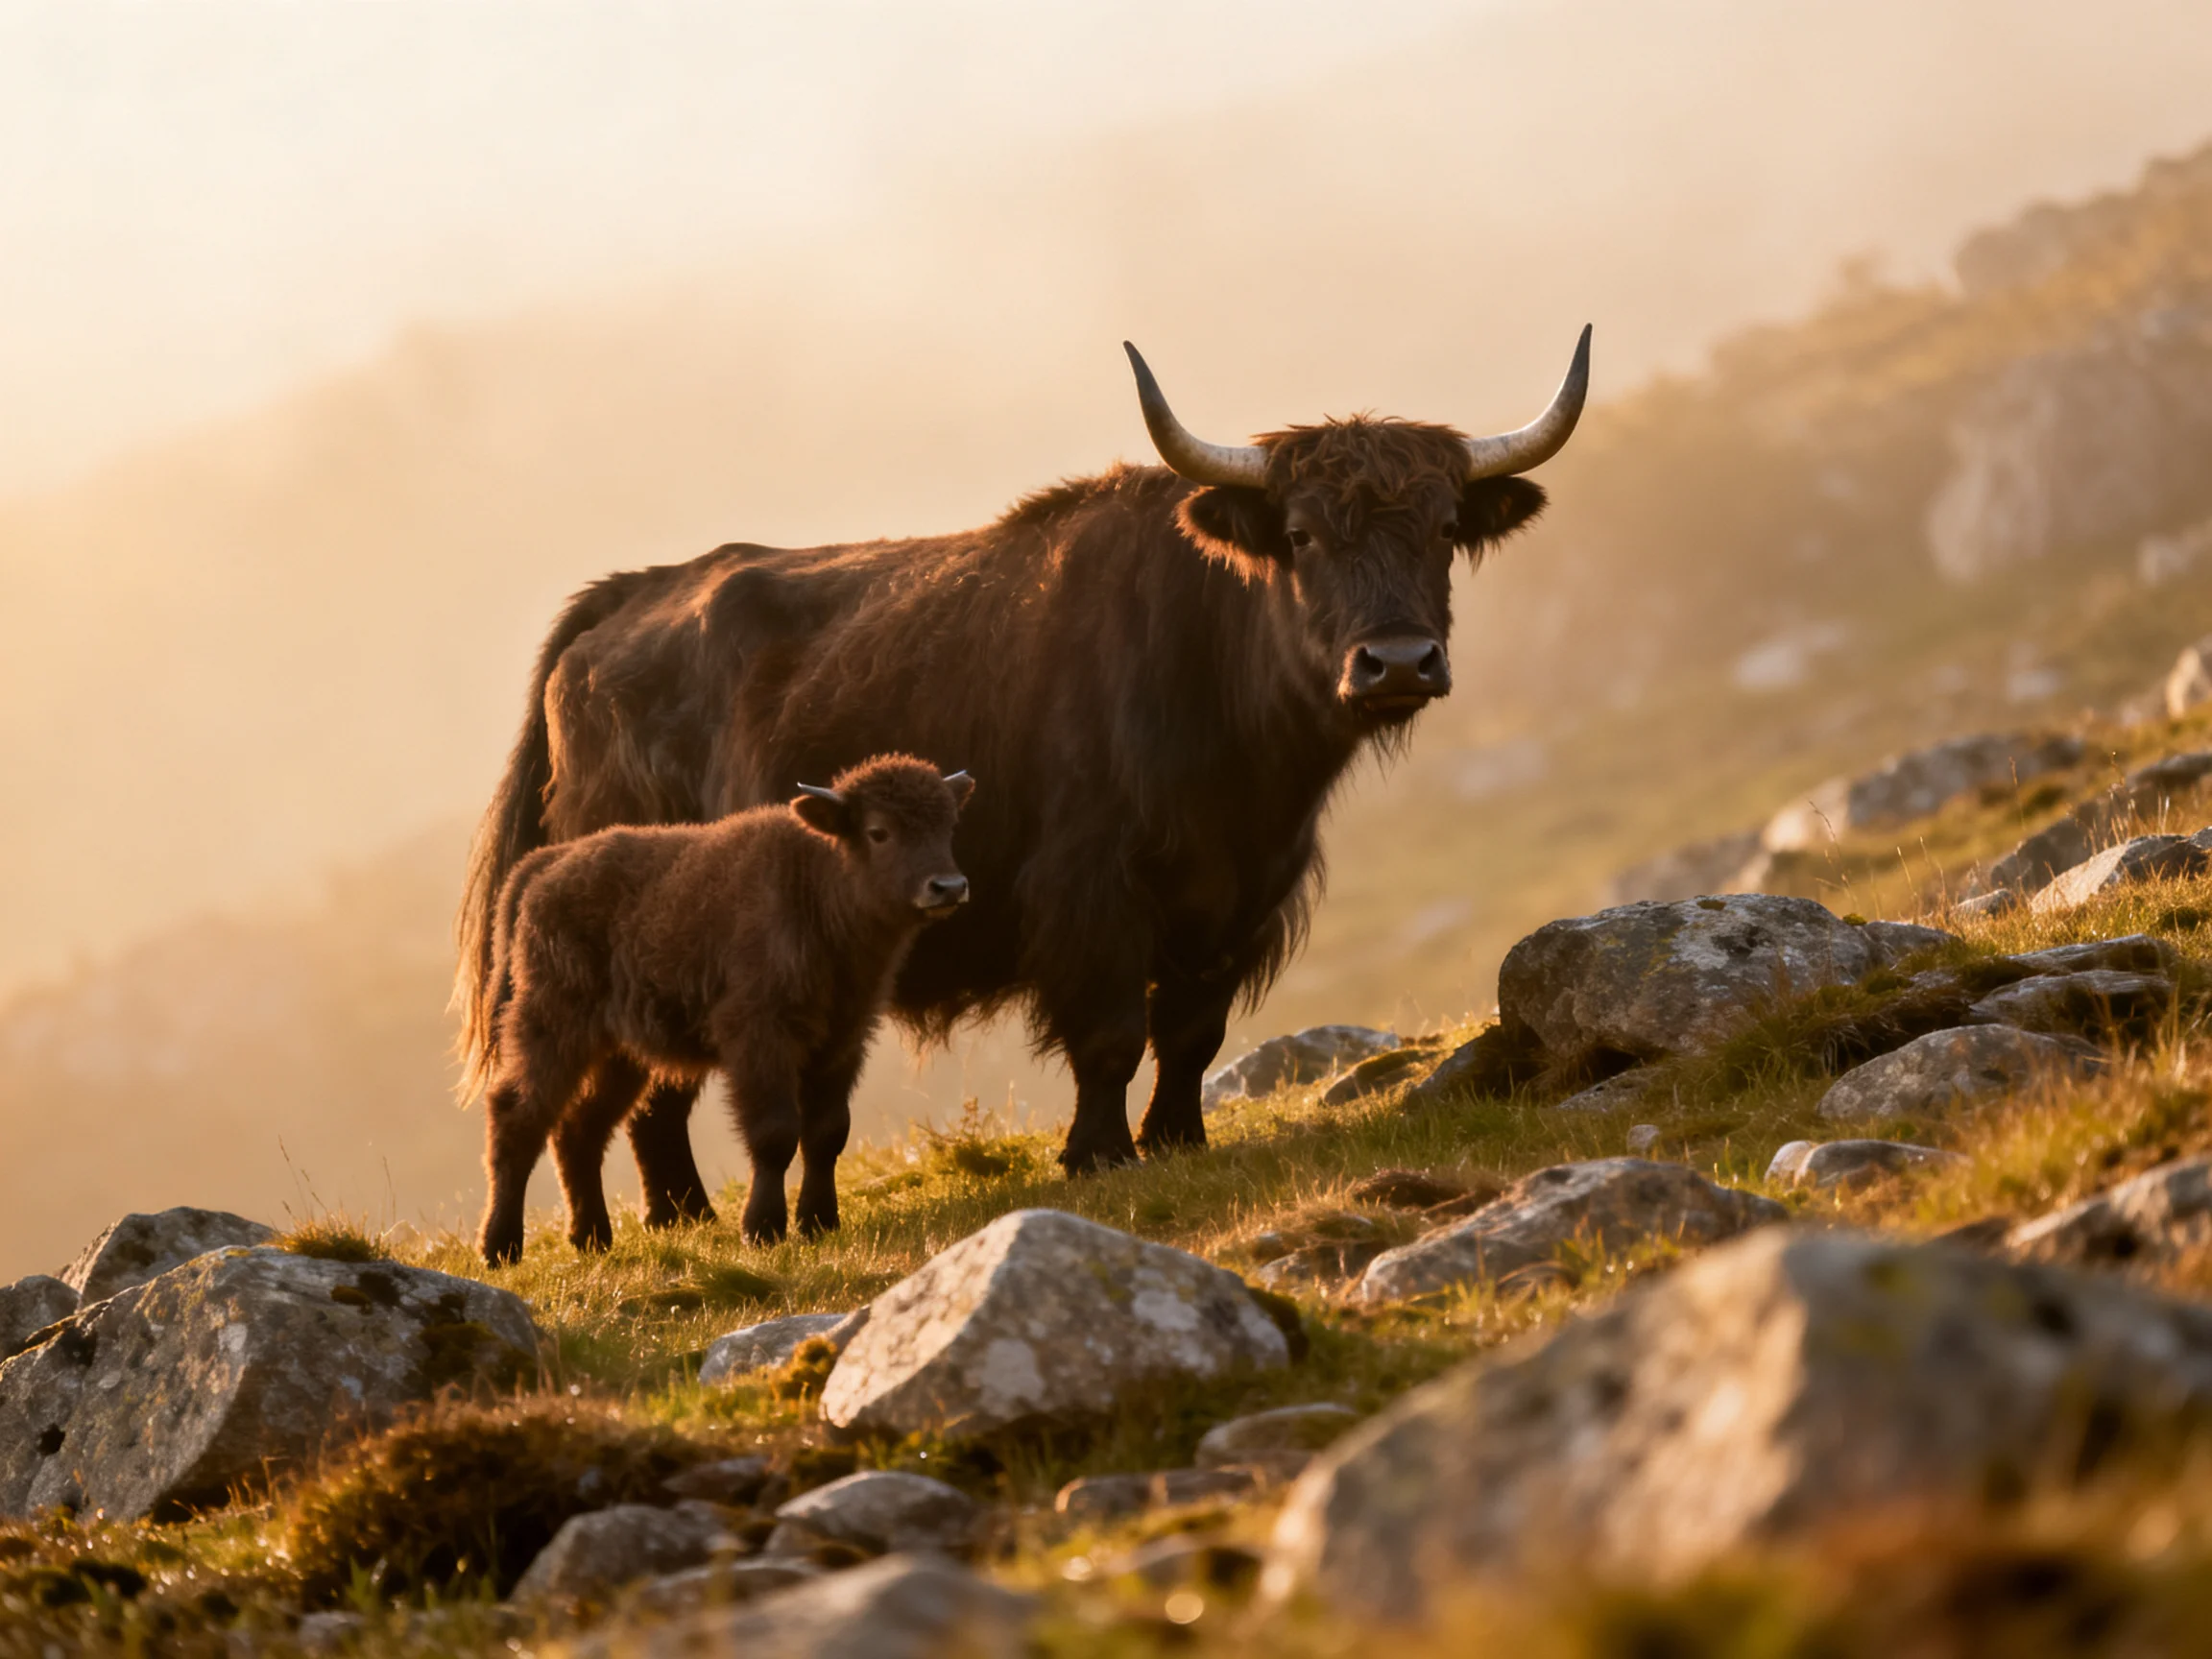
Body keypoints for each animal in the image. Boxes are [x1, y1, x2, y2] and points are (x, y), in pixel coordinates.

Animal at [456, 329, 1590, 1212]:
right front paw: (1098, 1154)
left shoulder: (1239, 898)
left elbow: (1192, 1031)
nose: (1396, 662)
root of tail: (616, 607)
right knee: (645, 1090)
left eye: (1444, 526)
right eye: (1303, 534)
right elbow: (1110, 1033)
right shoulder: (1092, 890)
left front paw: (1177, 1139)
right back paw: (679, 1214)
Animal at [471, 754, 973, 1263]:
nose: (948, 886)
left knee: (579, 1128)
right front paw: (763, 1229)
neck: (811, 883)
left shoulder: (843, 1041)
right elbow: (775, 1134)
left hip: (621, 1056)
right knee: (518, 1115)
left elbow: (828, 1133)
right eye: (878, 831)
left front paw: (820, 1223)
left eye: (949, 825)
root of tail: (543, 866)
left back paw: (592, 1238)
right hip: (554, 1029)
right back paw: (500, 1247)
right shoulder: (759, 1040)